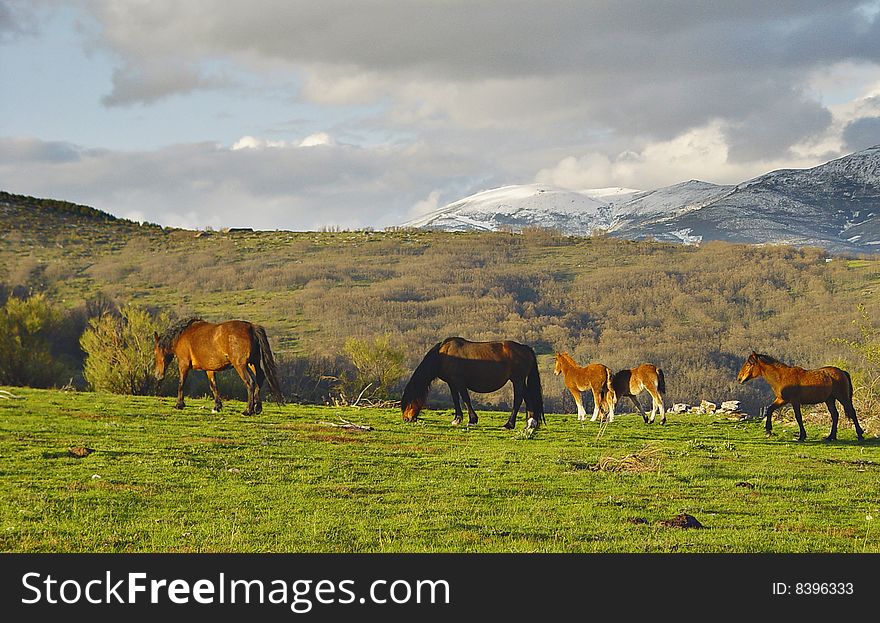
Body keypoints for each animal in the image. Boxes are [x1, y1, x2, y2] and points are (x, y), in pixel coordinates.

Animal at [153, 320, 284, 416]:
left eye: (155, 352)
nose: (158, 375)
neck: (182, 335)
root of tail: (251, 327)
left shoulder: (183, 364)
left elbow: (181, 383)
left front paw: (179, 404)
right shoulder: (209, 369)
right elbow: (213, 386)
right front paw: (217, 406)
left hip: (240, 365)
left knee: (250, 382)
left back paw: (248, 410)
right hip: (253, 363)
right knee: (259, 379)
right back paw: (257, 408)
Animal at [400, 338, 544, 432]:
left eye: (409, 402)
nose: (406, 419)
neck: (442, 355)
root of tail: (525, 348)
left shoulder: (459, 382)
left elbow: (465, 399)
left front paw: (472, 420)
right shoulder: (452, 383)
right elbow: (456, 399)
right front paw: (457, 419)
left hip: (517, 380)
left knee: (518, 399)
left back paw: (509, 424)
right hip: (519, 380)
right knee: (527, 398)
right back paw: (530, 423)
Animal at [736, 352, 868, 444]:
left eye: (749, 364)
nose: (739, 378)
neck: (781, 377)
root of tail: (841, 371)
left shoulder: (794, 402)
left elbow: (798, 418)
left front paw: (801, 436)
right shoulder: (782, 400)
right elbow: (770, 409)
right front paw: (768, 430)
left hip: (842, 397)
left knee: (851, 412)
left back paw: (859, 434)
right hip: (829, 399)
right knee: (835, 415)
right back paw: (831, 436)